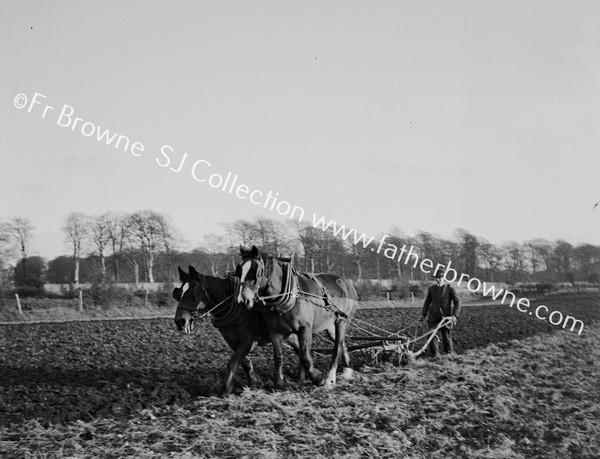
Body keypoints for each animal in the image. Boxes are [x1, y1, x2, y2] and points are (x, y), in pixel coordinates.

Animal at [237, 246, 358, 390]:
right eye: (239, 270)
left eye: (257, 271)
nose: (243, 299)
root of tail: (347, 283)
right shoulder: (275, 331)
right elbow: (278, 356)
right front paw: (279, 382)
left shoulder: (304, 328)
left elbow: (305, 356)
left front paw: (318, 378)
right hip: (330, 327)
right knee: (342, 344)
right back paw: (347, 372)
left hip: (342, 321)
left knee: (337, 348)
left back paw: (330, 378)